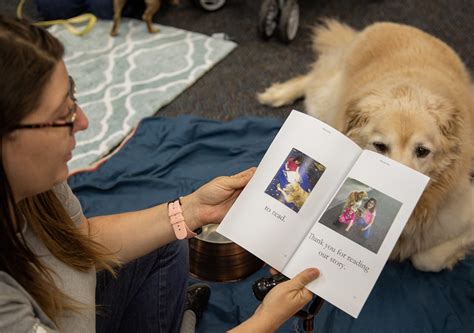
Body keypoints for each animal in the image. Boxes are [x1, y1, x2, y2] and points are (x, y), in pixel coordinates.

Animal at [260, 20, 474, 270]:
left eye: (422, 151)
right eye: (380, 146)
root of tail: (392, 24)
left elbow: (426, 259)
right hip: (326, 102)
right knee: (313, 78)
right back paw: (278, 93)